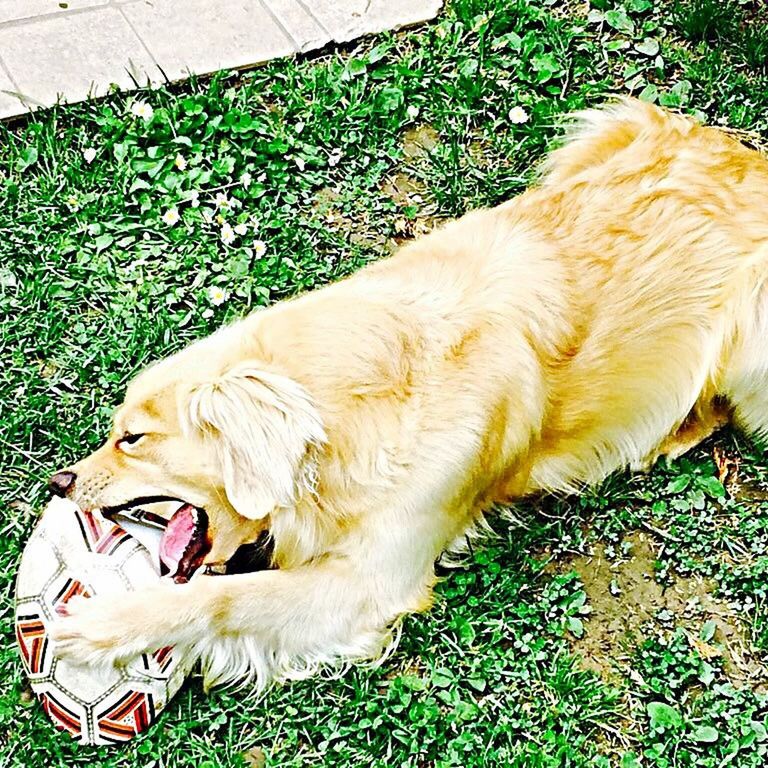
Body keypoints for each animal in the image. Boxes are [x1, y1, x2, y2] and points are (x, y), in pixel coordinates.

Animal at [49, 99, 768, 692]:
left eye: (133, 438)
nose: (58, 483)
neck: (350, 414)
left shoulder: (371, 582)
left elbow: (224, 597)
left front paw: (107, 624)